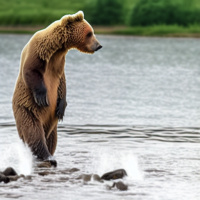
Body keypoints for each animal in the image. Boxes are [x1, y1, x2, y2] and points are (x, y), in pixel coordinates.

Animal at [12, 10, 102, 166]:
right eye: (89, 33)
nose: (98, 45)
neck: (56, 49)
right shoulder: (38, 51)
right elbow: (31, 70)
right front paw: (42, 96)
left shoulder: (59, 63)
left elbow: (62, 82)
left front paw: (62, 106)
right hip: (27, 110)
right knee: (34, 132)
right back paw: (47, 156)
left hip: (52, 123)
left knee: (51, 138)